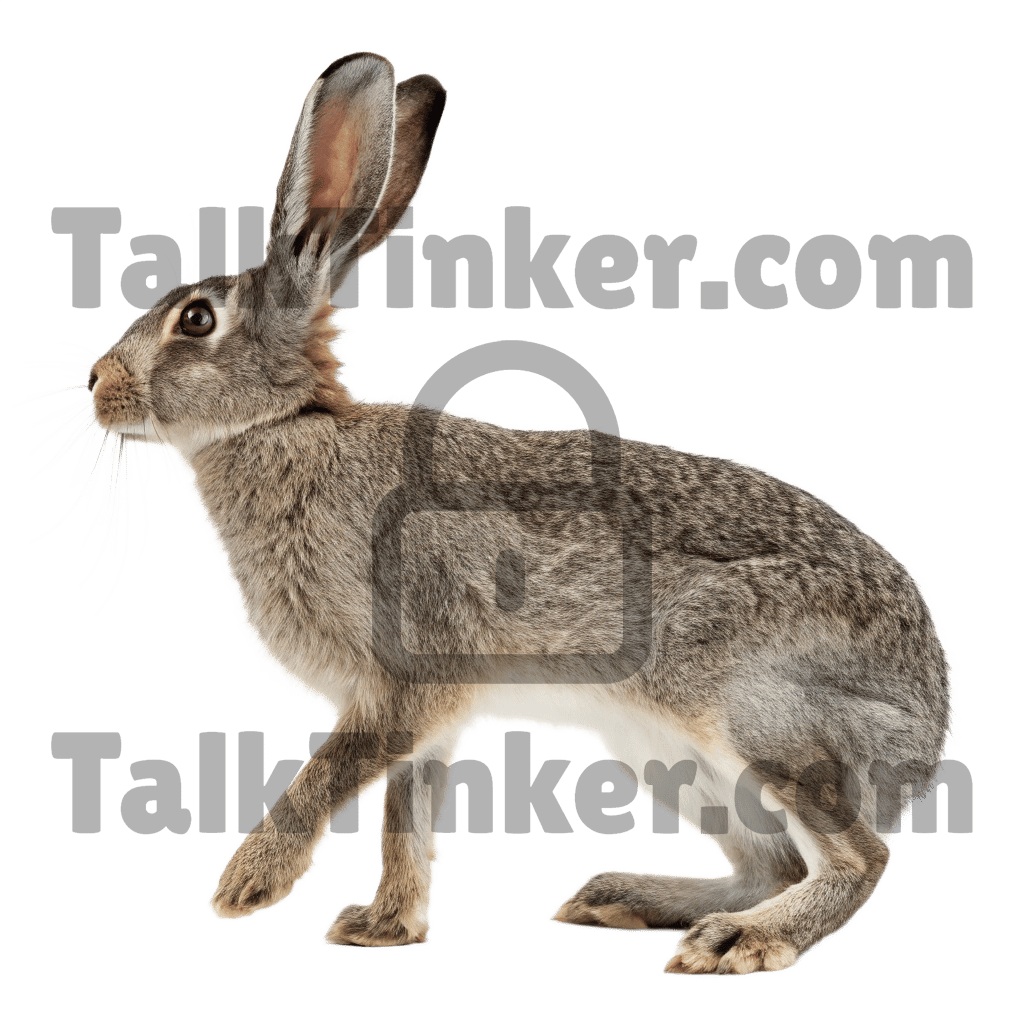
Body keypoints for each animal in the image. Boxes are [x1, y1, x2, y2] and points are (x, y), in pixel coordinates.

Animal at [72, 49, 957, 975]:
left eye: (196, 320)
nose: (97, 383)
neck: (286, 426)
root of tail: (927, 732)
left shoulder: (404, 678)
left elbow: (330, 778)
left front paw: (248, 886)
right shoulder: (425, 718)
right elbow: (405, 820)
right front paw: (382, 928)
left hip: (748, 710)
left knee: (856, 857)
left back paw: (742, 941)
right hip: (666, 753)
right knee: (770, 863)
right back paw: (623, 899)